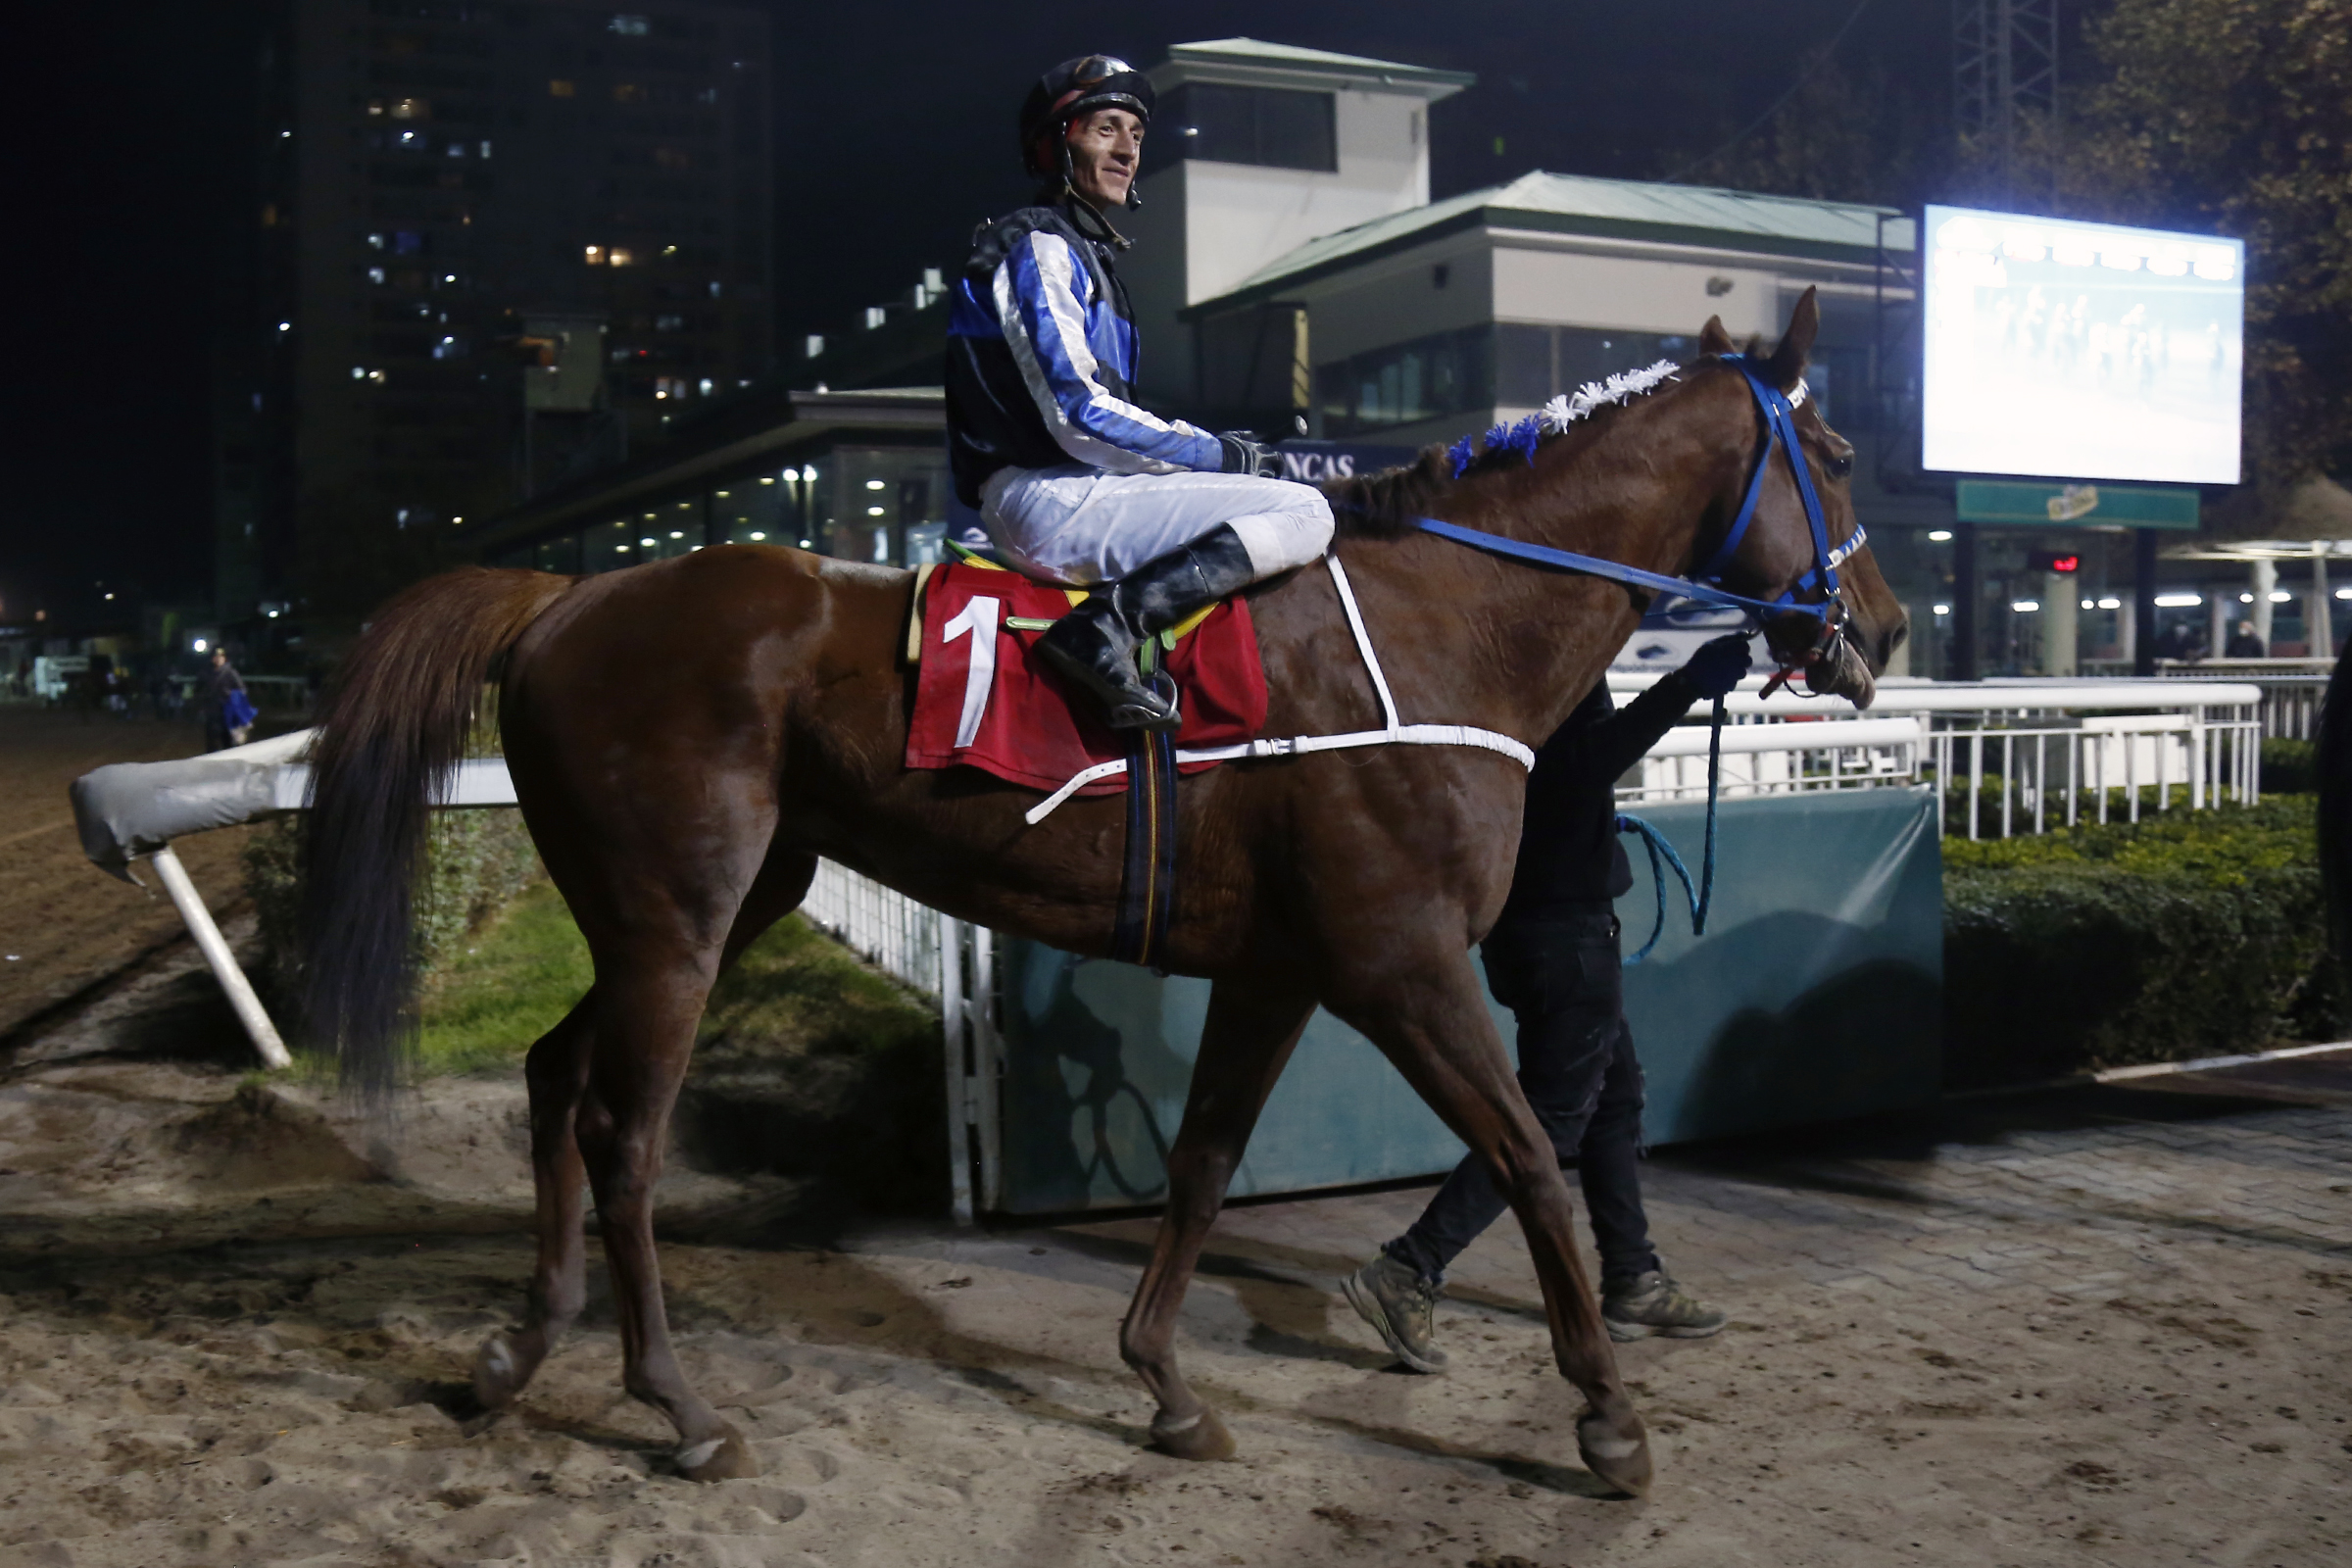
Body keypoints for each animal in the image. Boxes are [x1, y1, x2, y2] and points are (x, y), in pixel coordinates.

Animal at [296, 291, 1905, 1497]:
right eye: (1830, 446)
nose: (1881, 626)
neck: (1437, 622)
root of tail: (563, 594)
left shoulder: (1281, 967)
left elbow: (1199, 1164)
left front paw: (1165, 1384)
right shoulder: (1403, 961)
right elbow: (1528, 1157)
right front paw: (1607, 1415)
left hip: (708, 903)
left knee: (553, 1076)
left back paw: (518, 1351)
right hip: (680, 916)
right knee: (624, 1133)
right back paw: (678, 1409)